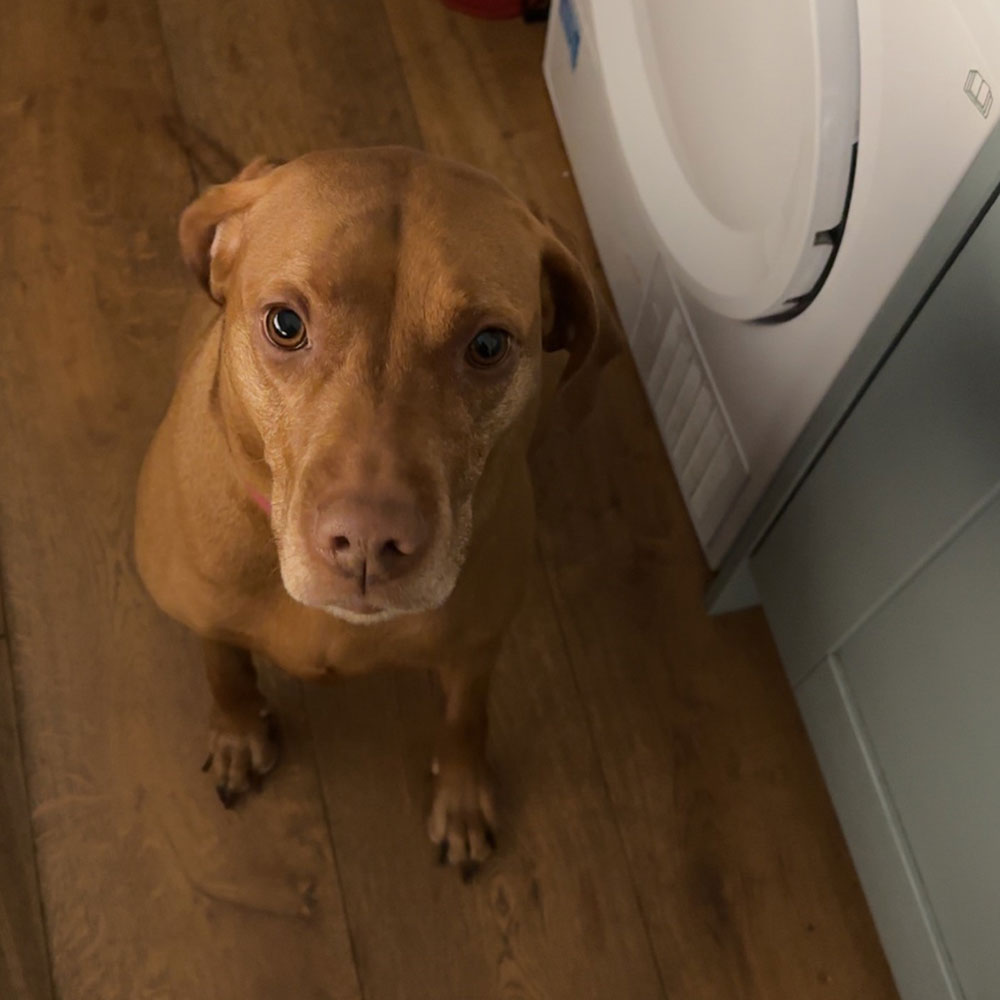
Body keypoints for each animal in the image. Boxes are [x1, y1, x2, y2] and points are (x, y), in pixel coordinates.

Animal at [135, 147, 613, 877]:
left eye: (489, 345)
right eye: (285, 324)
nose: (366, 543)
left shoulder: (477, 642)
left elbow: (466, 717)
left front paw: (462, 797)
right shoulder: (203, 605)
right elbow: (223, 663)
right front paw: (240, 729)